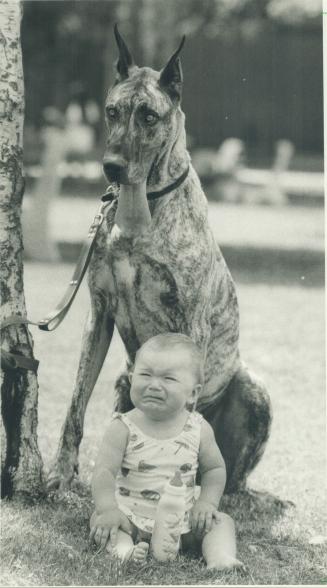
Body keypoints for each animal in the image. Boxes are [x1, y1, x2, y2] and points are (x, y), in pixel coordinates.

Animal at [47, 28, 272, 496]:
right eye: (112, 112)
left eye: (149, 116)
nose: (112, 167)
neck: (147, 208)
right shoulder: (99, 314)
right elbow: (75, 406)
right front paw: (61, 475)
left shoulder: (192, 324)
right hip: (125, 380)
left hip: (253, 388)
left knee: (231, 475)